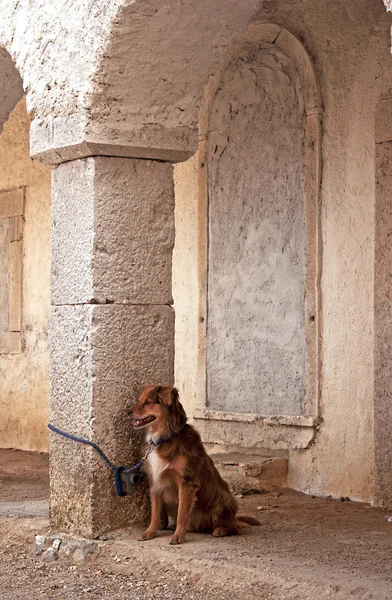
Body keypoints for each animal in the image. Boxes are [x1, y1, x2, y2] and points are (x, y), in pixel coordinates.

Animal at [129, 384, 260, 544]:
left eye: (148, 402)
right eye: (139, 400)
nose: (128, 412)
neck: (165, 437)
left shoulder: (187, 482)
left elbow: (182, 513)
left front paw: (178, 536)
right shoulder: (155, 481)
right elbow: (155, 512)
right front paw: (150, 532)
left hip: (223, 501)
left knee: (233, 527)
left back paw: (221, 530)